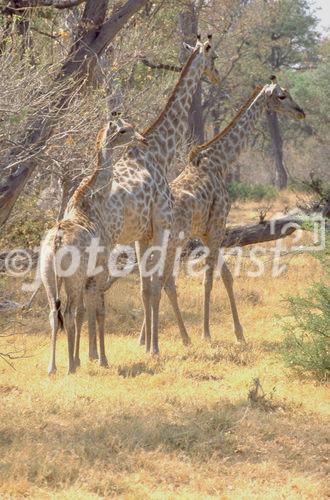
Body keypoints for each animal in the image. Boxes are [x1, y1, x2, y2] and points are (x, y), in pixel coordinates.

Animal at [40, 115, 147, 374]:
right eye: (124, 130)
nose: (143, 139)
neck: (91, 202)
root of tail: (56, 243)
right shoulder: (99, 271)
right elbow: (98, 310)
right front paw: (101, 359)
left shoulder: (89, 276)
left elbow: (83, 312)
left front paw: (82, 358)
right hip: (73, 277)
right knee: (67, 312)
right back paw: (69, 368)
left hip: (49, 275)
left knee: (54, 313)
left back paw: (53, 368)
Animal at [138, 76, 306, 346]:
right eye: (282, 96)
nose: (300, 112)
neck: (221, 162)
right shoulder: (217, 225)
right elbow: (209, 279)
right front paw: (208, 333)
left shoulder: (208, 233)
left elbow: (226, 275)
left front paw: (239, 333)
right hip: (171, 242)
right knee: (162, 281)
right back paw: (172, 339)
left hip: (149, 242)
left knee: (153, 282)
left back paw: (150, 339)